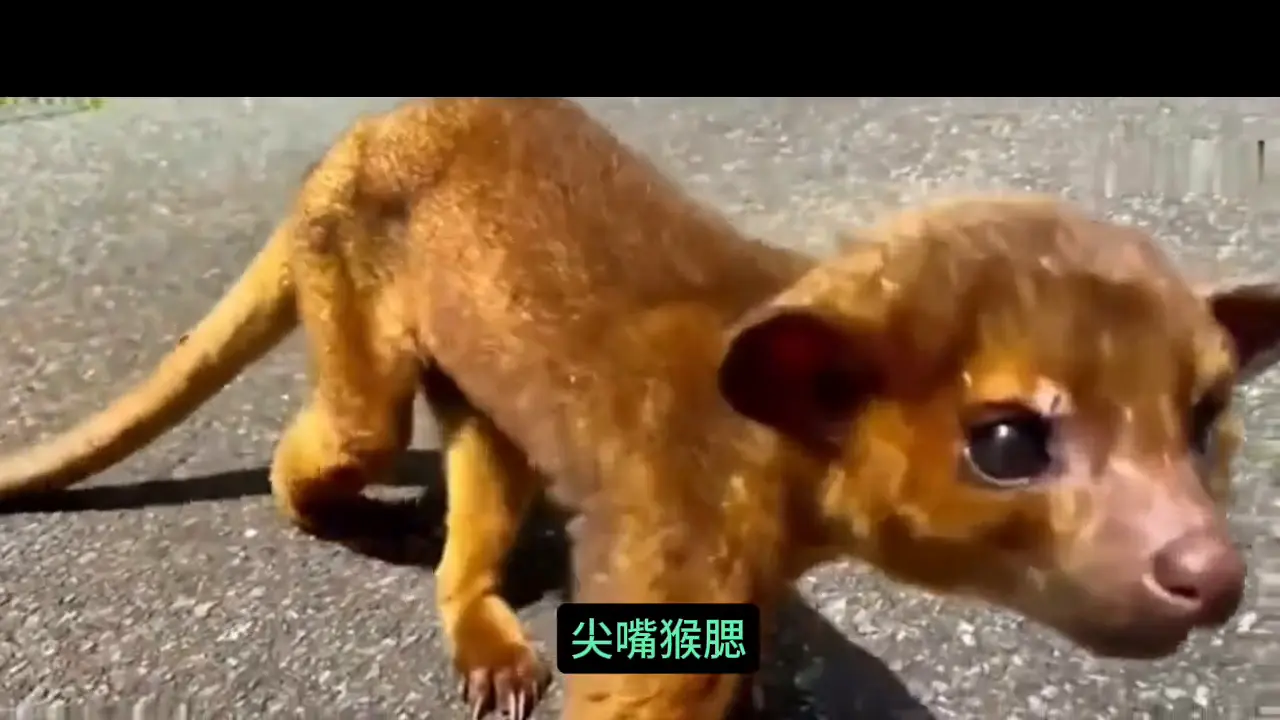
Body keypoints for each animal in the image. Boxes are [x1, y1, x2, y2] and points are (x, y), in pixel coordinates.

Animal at [1, 98, 1278, 720]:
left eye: (1203, 421)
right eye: (1007, 444)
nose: (1207, 569)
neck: (773, 455)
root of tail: (351, 140)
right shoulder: (674, 528)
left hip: (484, 382)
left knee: (486, 464)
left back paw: (480, 625)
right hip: (353, 298)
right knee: (346, 435)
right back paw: (352, 515)